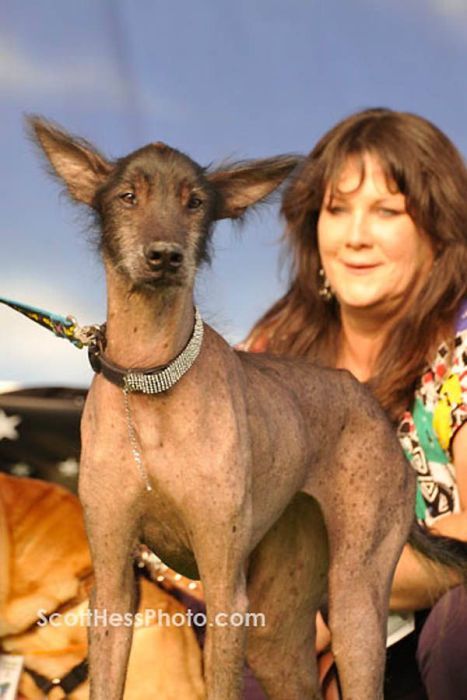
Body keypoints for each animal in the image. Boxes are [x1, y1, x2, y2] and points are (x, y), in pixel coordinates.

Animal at [30, 117, 416, 696]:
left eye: (195, 203)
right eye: (127, 197)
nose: (165, 255)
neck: (150, 382)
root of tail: (368, 402)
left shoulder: (224, 590)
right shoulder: (114, 586)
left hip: (356, 608)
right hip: (278, 634)